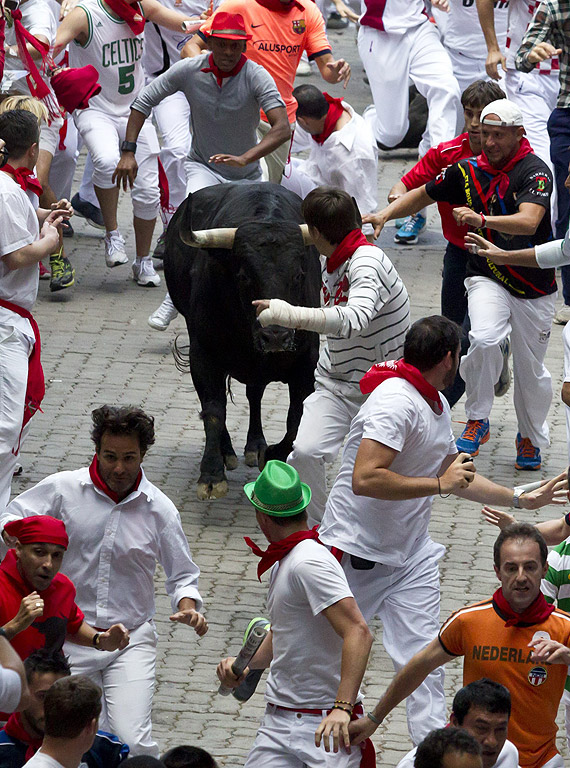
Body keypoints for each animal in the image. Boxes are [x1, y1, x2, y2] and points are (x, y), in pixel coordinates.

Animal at [163, 183, 320, 500]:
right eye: (244, 275)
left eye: (299, 274)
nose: (276, 335)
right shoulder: (204, 354)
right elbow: (213, 410)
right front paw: (211, 475)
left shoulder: (306, 363)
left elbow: (296, 416)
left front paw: (273, 454)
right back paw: (228, 452)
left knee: (255, 393)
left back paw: (255, 445)